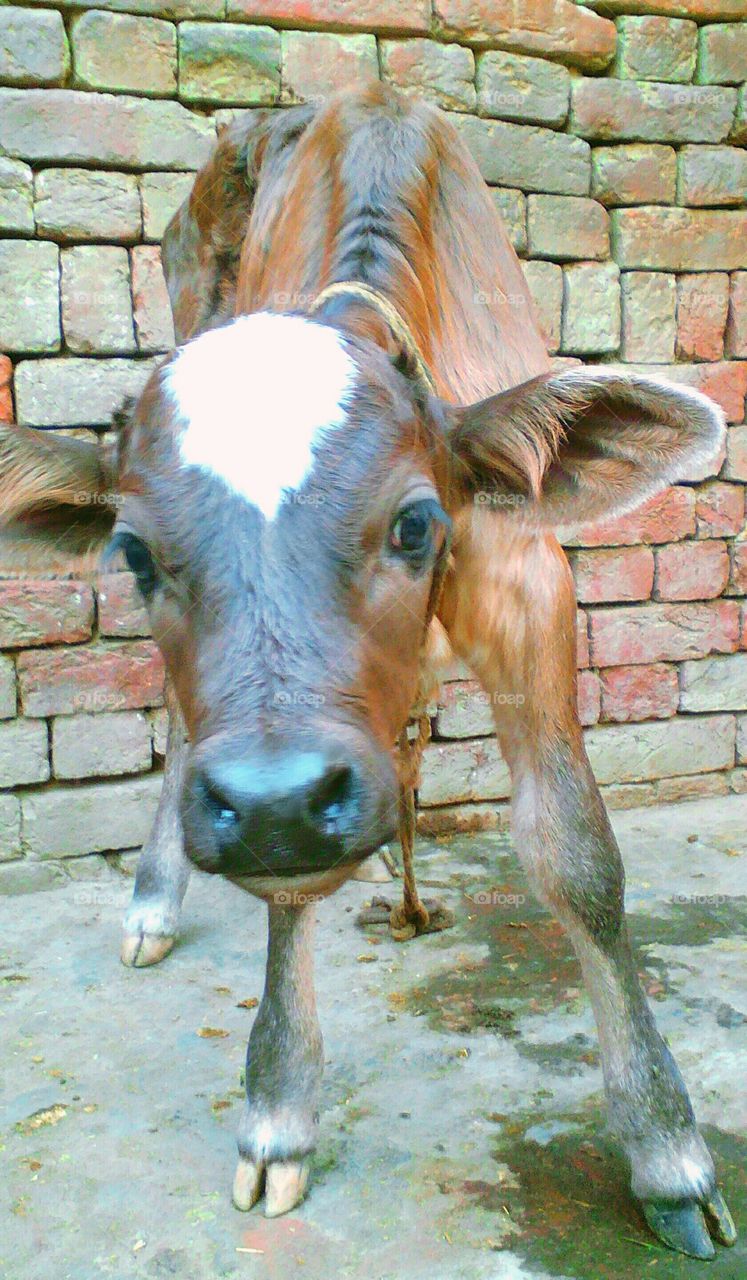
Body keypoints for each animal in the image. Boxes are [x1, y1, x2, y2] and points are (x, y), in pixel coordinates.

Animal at [0, 85, 735, 1259]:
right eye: (134, 553)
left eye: (416, 522)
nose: (275, 801)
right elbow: (287, 896)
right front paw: (277, 1107)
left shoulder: (529, 578)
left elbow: (579, 857)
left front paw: (668, 1151)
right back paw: (155, 899)